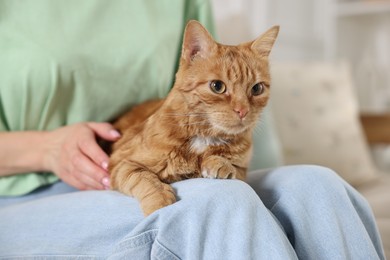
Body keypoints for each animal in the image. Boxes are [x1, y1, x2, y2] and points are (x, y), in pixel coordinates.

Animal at [109, 19, 278, 215]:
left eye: (257, 89)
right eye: (217, 86)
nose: (242, 110)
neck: (204, 139)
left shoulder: (243, 170)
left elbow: (232, 167)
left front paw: (217, 163)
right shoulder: (121, 164)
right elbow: (146, 180)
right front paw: (160, 203)